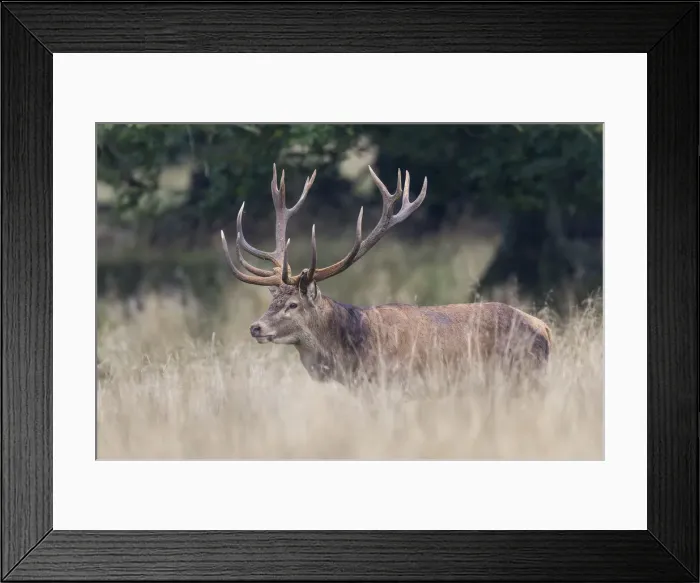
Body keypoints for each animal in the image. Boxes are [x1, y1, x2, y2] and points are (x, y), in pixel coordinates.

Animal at [220, 164, 553, 389]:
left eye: (293, 305)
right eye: (273, 302)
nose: (255, 327)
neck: (353, 356)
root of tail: (545, 329)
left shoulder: (390, 387)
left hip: (522, 376)